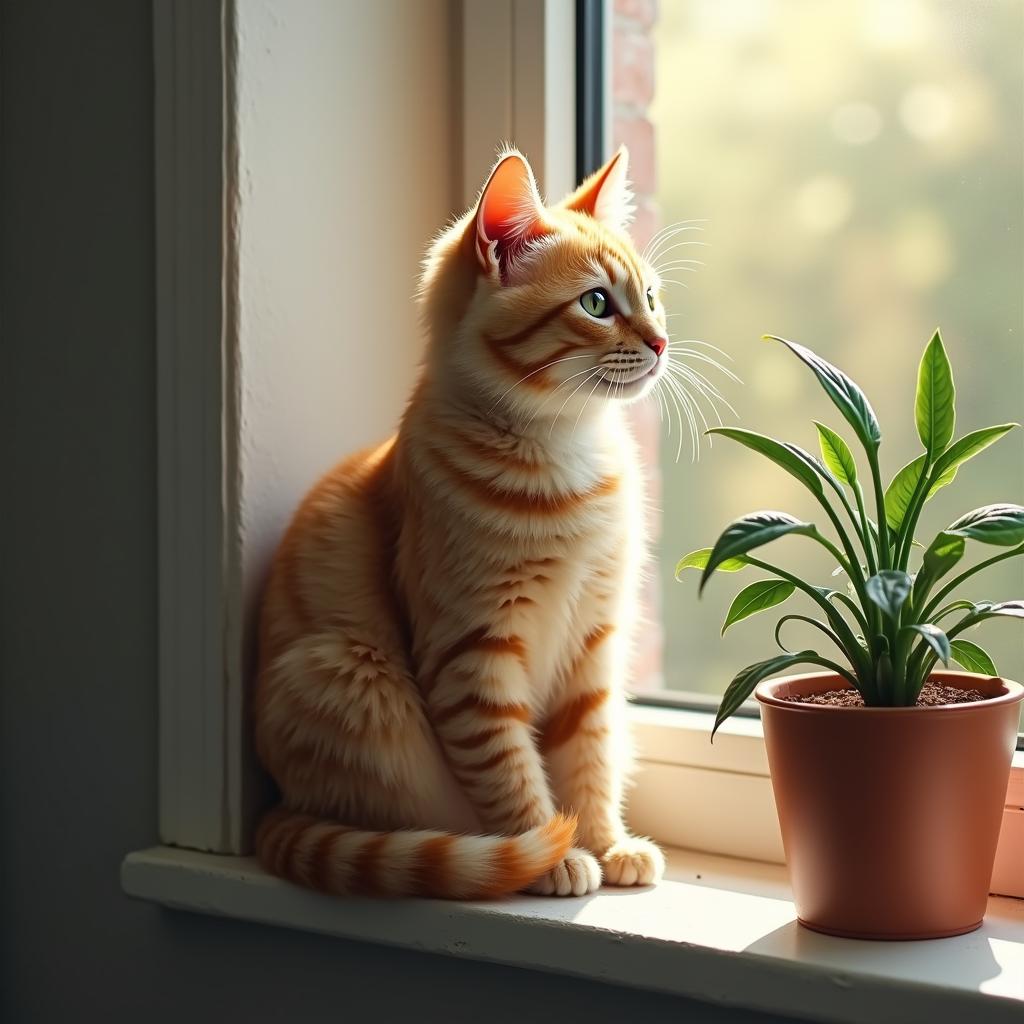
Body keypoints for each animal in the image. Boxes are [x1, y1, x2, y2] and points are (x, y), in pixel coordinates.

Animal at [253, 144, 671, 897]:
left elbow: (589, 755)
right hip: (348, 674)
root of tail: (282, 805)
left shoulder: (595, 643)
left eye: (650, 298)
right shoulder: (472, 655)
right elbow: (511, 769)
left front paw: (605, 841)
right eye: (597, 303)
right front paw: (553, 851)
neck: (563, 453)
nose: (660, 341)